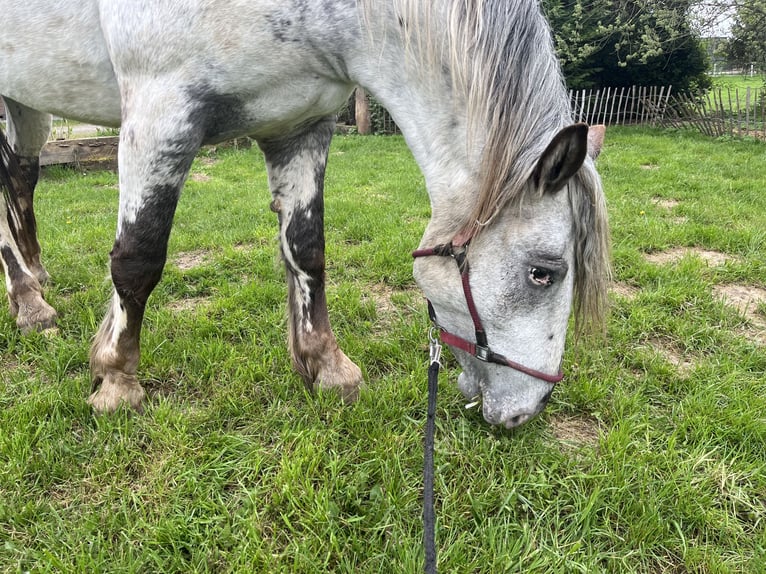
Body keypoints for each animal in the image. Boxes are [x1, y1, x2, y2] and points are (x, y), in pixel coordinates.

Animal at [0, 0, 612, 430]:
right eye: (543, 273)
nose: (529, 409)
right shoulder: (160, 110)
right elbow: (138, 257)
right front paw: (115, 379)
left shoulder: (300, 126)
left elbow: (307, 250)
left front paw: (325, 366)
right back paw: (29, 304)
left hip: (25, 103)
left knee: (19, 178)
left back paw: (36, 277)